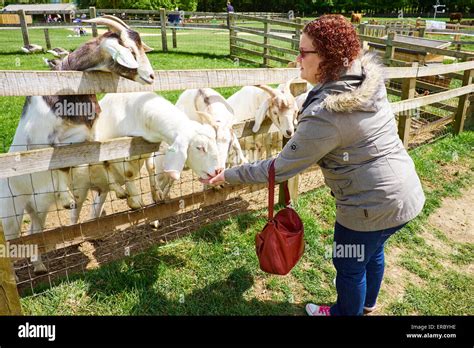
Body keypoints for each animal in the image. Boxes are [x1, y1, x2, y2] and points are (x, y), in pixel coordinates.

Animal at [0, 15, 155, 274]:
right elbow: (60, 161)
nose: (151, 77)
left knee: (35, 231)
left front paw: (126, 194)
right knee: (14, 240)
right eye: (130, 51)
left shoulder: (90, 133)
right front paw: (67, 199)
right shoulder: (48, 140)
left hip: (37, 208)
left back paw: (39, 266)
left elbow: (98, 155)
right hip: (11, 212)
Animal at [70, 92, 222, 223]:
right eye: (199, 147)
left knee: (96, 207)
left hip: (101, 192)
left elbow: (151, 167)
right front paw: (135, 201)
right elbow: (126, 172)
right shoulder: (112, 148)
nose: (218, 171)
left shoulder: (148, 148)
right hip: (80, 187)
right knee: (75, 213)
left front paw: (157, 194)